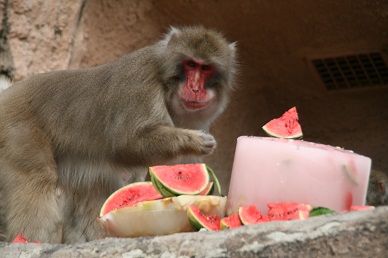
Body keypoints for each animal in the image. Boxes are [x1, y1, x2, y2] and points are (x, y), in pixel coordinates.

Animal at [0, 26, 236, 244]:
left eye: (206, 68)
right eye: (191, 64)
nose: (195, 88)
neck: (166, 82)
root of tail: (8, 94)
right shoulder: (141, 84)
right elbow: (127, 144)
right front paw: (194, 141)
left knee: (97, 184)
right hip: (17, 127)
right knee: (37, 177)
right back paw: (31, 241)